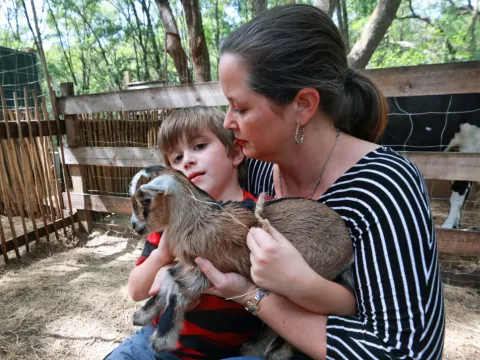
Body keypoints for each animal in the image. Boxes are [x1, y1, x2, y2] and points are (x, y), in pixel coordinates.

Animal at [129, 165, 354, 358]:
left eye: (146, 200)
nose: (134, 225)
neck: (197, 220)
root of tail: (349, 248)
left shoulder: (207, 270)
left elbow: (176, 289)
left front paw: (161, 340)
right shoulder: (190, 264)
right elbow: (167, 278)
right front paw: (142, 315)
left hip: (307, 282)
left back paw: (272, 352)